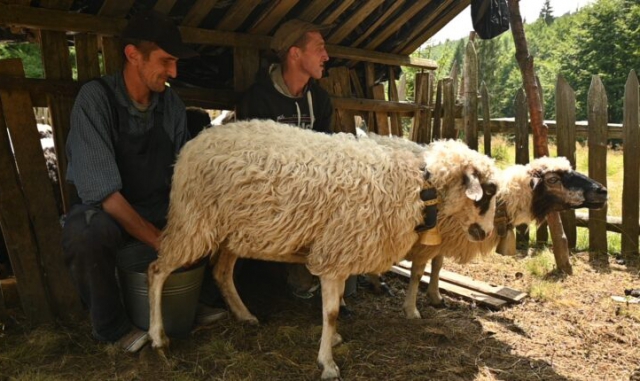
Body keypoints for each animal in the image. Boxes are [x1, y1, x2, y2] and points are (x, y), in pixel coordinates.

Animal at [146, 119, 500, 380]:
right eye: (486, 194)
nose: (485, 233)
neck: (417, 186)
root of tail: (191, 146)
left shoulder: (340, 253)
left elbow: (335, 306)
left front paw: (334, 341)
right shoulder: (336, 254)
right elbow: (330, 312)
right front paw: (328, 363)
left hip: (234, 232)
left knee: (221, 272)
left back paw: (245, 315)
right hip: (193, 221)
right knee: (156, 271)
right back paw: (158, 337)